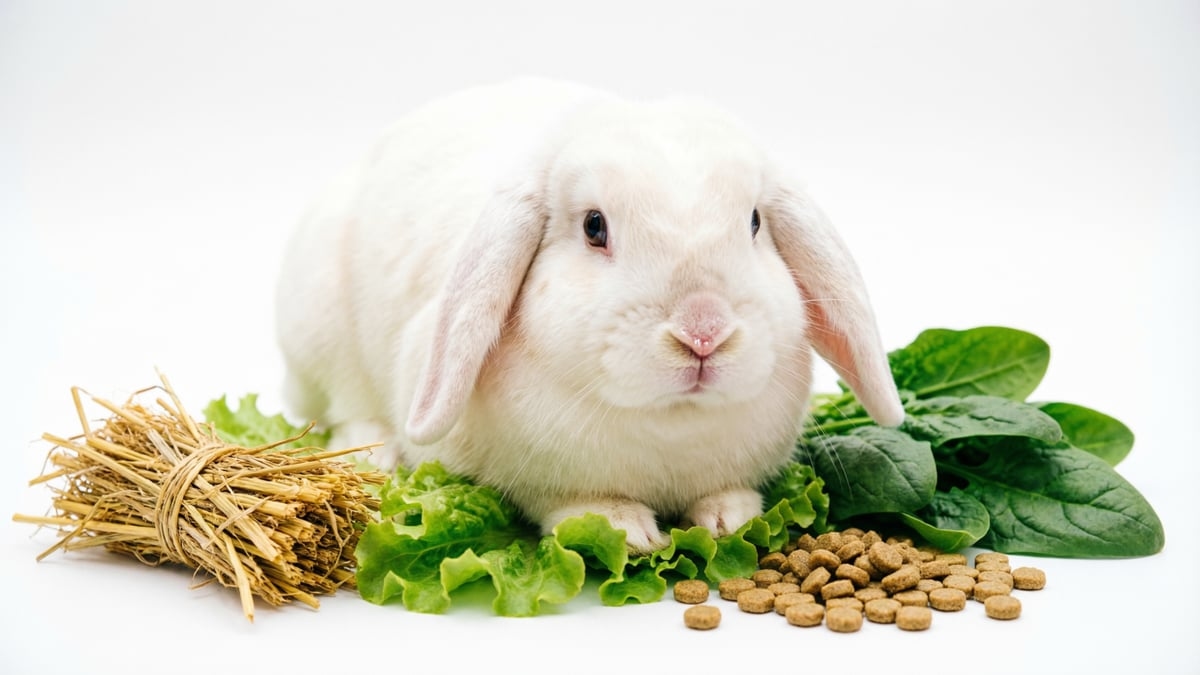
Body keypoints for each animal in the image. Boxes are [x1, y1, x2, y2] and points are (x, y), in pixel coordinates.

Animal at [275, 77, 904, 553]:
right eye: (594, 227)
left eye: (753, 222)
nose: (703, 333)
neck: (670, 424)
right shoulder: (536, 479)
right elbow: (573, 503)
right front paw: (625, 531)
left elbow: (724, 495)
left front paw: (732, 521)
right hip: (322, 337)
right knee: (348, 406)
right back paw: (375, 454)